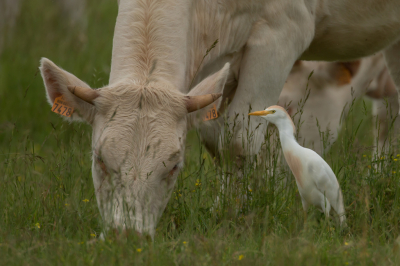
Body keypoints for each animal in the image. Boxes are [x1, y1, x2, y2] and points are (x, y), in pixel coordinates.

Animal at [39, 0, 400, 237]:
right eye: (99, 160)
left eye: (174, 166)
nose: (127, 236)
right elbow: (214, 135)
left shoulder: (282, 33)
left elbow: (237, 138)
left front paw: (235, 213)